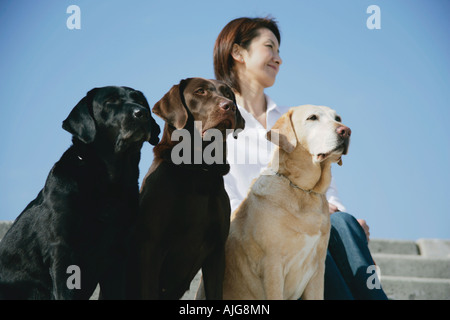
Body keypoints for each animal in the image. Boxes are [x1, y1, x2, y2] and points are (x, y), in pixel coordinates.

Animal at [0, 85, 160, 300]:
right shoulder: (63, 250)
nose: (141, 113)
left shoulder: (118, 254)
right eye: (110, 101)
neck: (109, 183)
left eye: (141, 101)